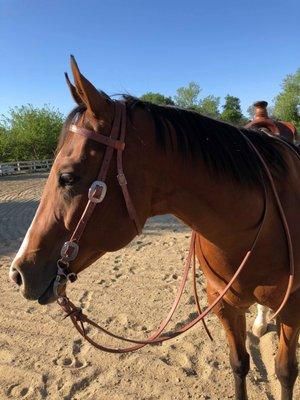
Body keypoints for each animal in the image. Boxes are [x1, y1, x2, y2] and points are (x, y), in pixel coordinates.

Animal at [8, 56, 300, 400]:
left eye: (67, 177)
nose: (18, 272)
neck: (249, 230)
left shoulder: (293, 310)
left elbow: (285, 373)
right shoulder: (224, 306)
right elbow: (239, 364)